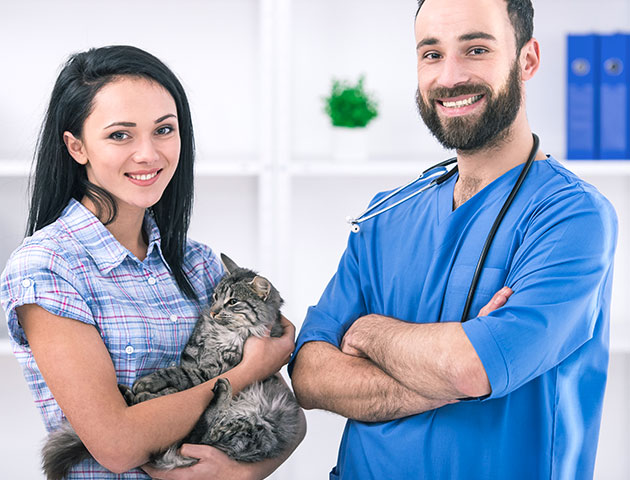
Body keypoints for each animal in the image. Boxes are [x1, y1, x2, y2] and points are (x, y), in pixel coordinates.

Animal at [42, 253, 304, 478]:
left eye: (233, 302)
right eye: (215, 297)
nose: (213, 311)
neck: (219, 333)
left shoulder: (214, 370)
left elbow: (178, 375)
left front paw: (148, 383)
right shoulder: (192, 355)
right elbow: (177, 380)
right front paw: (150, 390)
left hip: (250, 422)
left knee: (201, 436)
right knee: (191, 439)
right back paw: (130, 394)